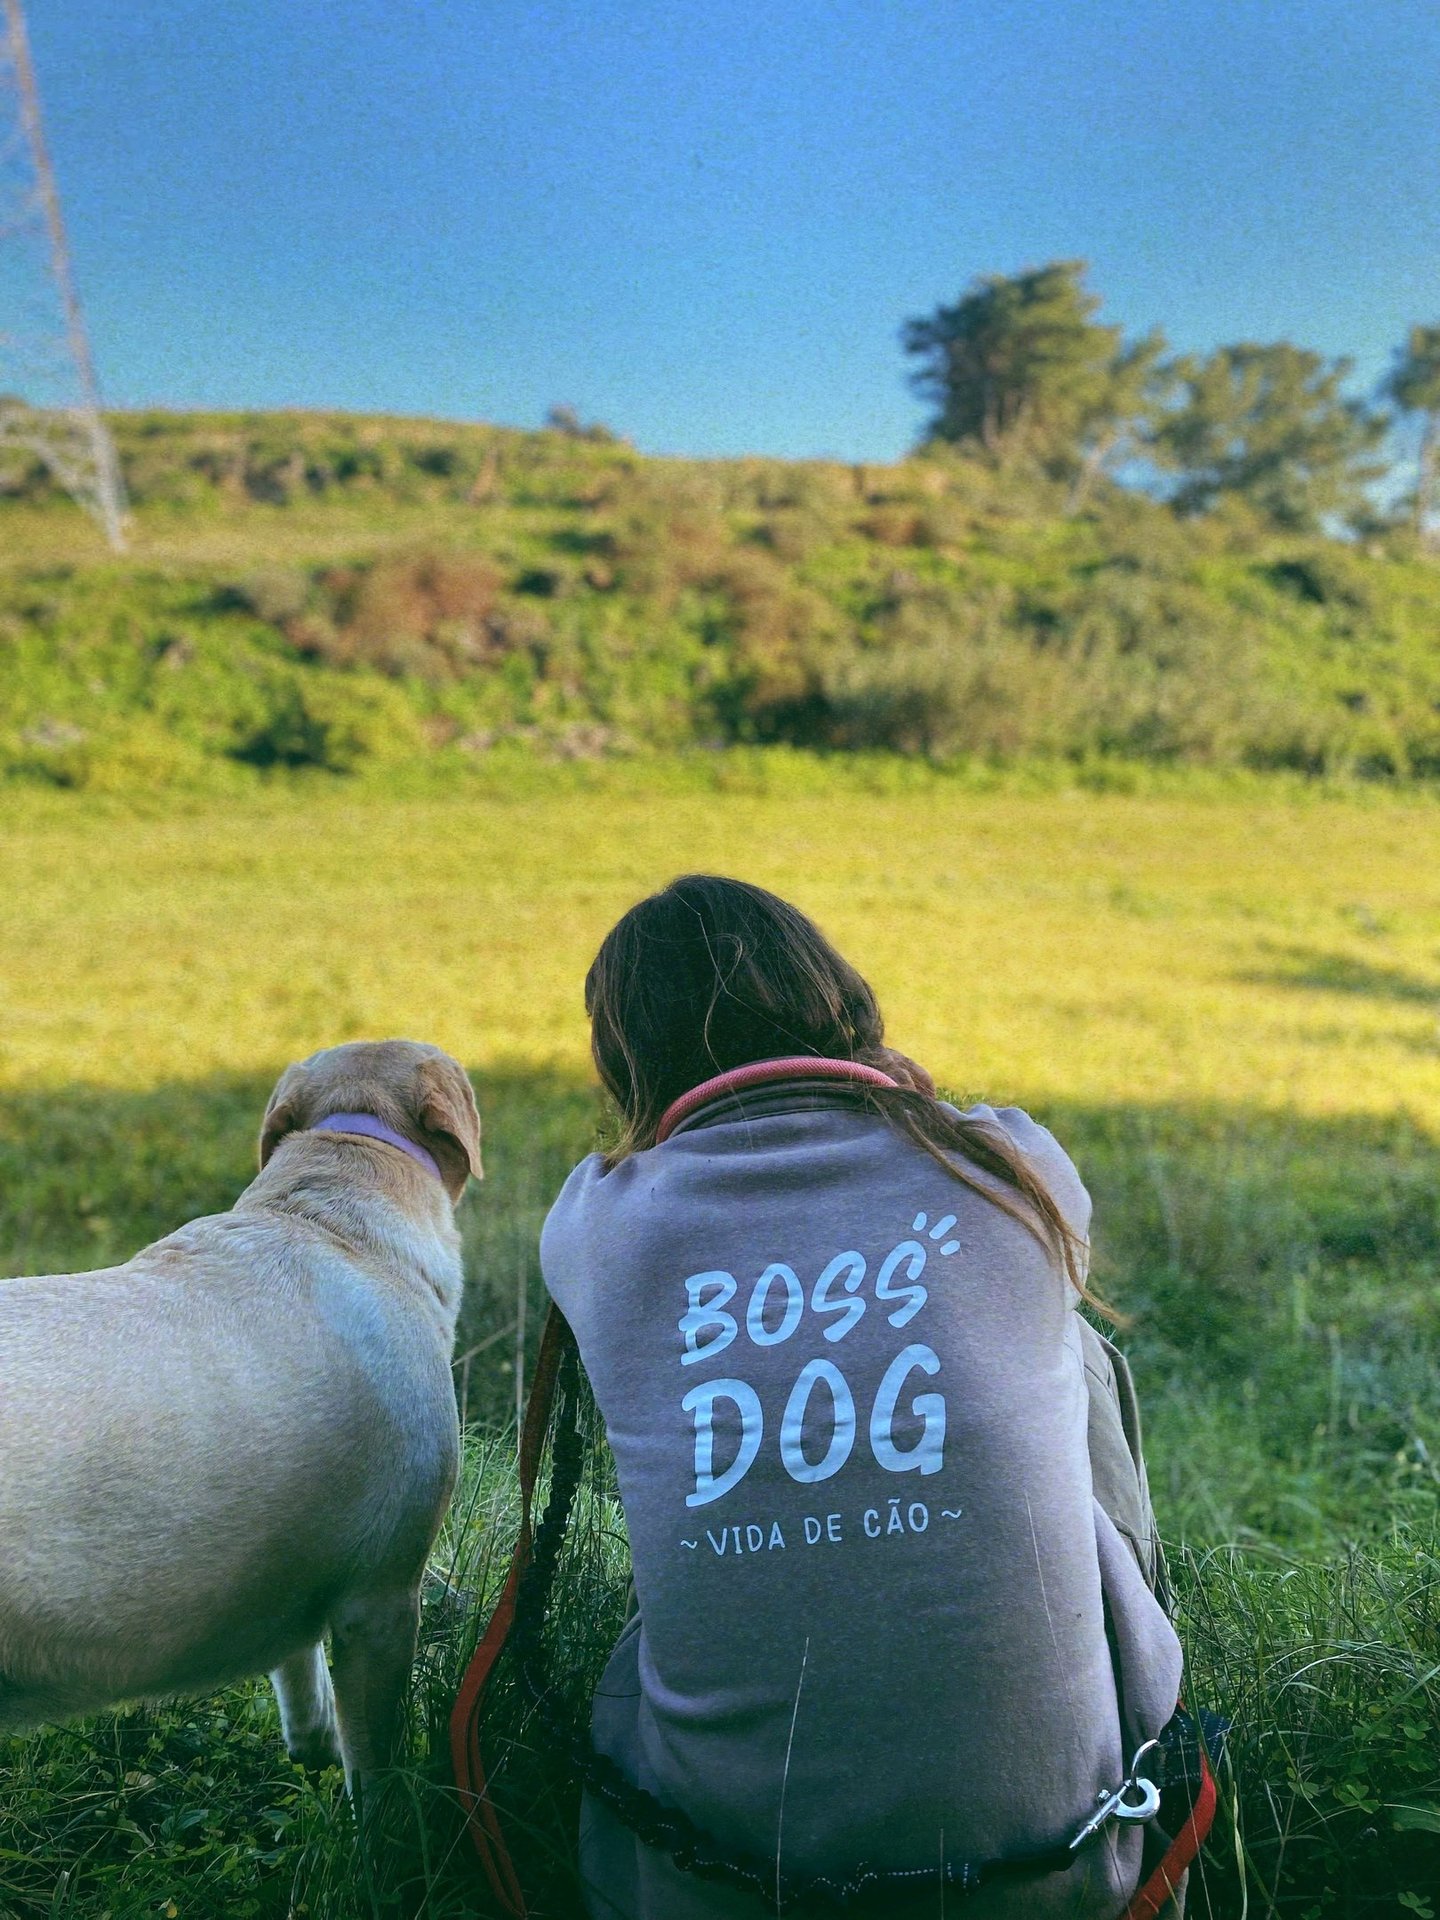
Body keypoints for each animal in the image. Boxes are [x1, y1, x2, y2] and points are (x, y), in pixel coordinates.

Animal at [0, 1039, 481, 1791]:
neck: (324, 1208)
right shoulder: (383, 1595)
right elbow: (378, 1767)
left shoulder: (288, 1556)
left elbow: (299, 1666)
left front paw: (314, 1745)